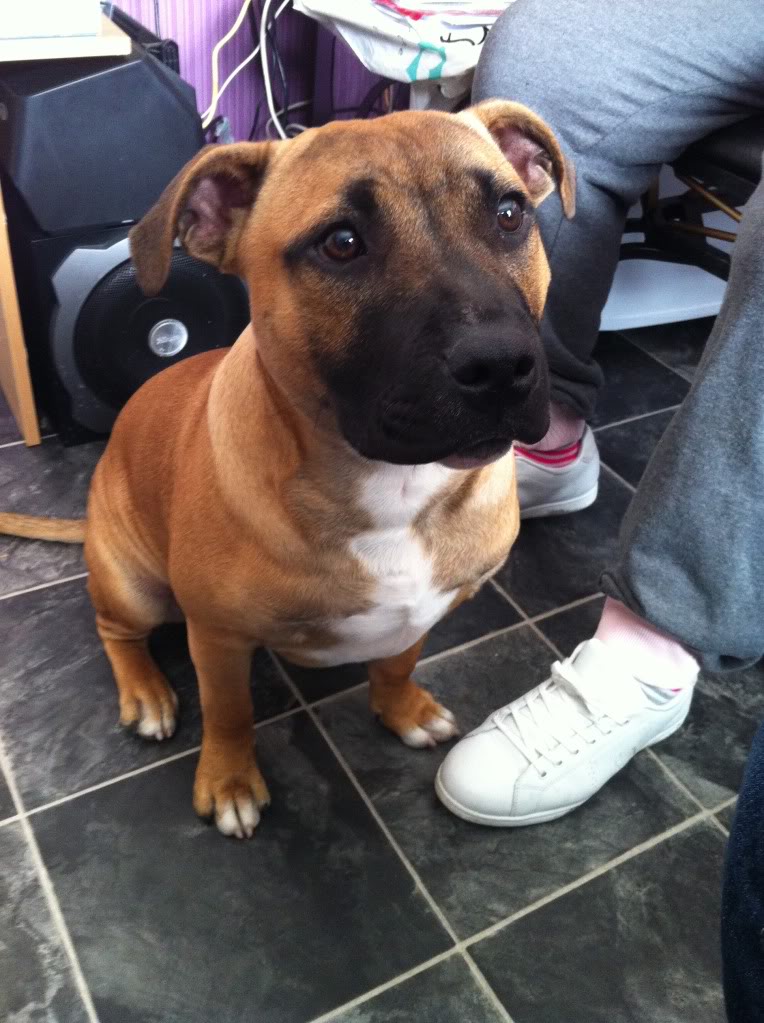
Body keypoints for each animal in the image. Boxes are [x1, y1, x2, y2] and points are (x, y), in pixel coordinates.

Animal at [1, 101, 572, 838]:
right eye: (341, 243)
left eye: (508, 214)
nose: (500, 366)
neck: (393, 487)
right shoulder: (217, 638)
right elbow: (230, 713)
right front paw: (228, 779)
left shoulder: (427, 609)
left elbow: (397, 662)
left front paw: (404, 710)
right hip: (135, 585)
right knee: (116, 632)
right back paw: (148, 692)